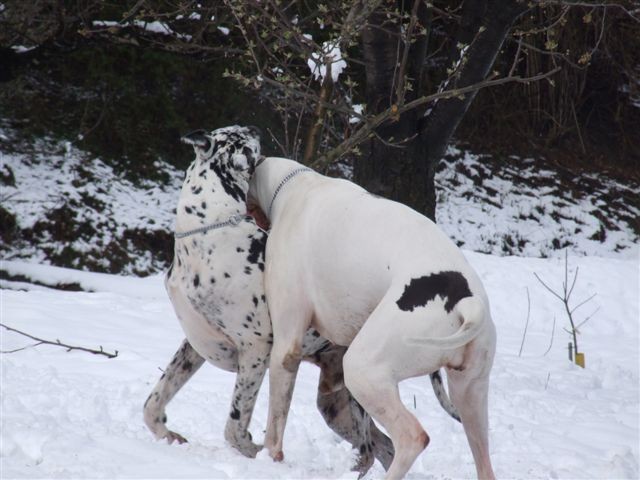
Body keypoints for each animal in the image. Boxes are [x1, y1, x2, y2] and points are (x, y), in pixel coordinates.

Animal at [144, 125, 396, 474]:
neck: (207, 236)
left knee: (373, 449)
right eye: (236, 135)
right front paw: (168, 434)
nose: (255, 127)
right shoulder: (192, 347)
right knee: (386, 448)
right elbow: (153, 403)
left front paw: (255, 451)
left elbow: (234, 427)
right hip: (335, 407)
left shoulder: (255, 350)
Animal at [250, 158, 500, 480]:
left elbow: (275, 422)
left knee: (413, 437)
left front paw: (269, 458)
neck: (297, 184)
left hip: (363, 370)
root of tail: (466, 300)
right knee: (482, 458)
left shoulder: (286, 347)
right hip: (469, 396)